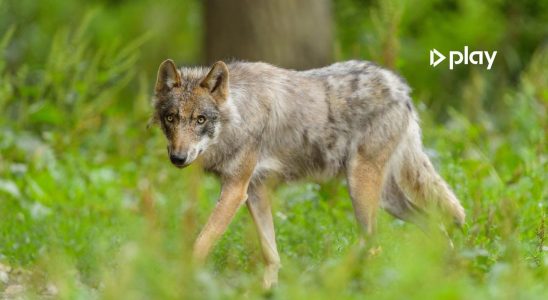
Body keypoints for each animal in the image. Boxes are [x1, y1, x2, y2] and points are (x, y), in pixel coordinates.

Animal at [151, 59, 466, 288]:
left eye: (200, 120)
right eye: (171, 118)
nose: (178, 157)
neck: (239, 115)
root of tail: (400, 88)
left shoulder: (235, 190)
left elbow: (200, 245)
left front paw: (179, 280)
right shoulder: (255, 191)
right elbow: (271, 254)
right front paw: (267, 290)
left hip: (360, 188)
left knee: (373, 241)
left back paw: (337, 280)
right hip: (389, 200)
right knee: (435, 225)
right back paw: (447, 275)